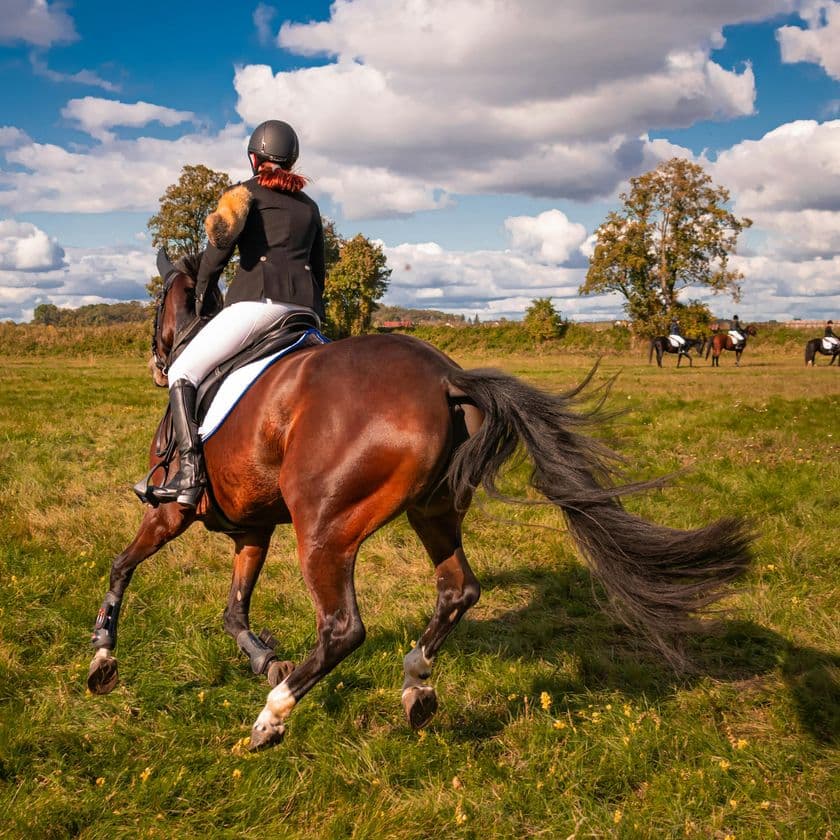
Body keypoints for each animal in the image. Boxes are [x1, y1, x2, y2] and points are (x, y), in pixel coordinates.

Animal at [87, 260, 753, 751]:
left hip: (324, 529)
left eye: (156, 307)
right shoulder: (252, 529)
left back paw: (271, 718)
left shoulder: (171, 512)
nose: (157, 364)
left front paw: (102, 656)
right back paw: (416, 687)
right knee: (458, 590)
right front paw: (265, 659)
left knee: (344, 629)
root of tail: (445, 378)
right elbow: (234, 612)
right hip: (432, 512)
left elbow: (122, 566)